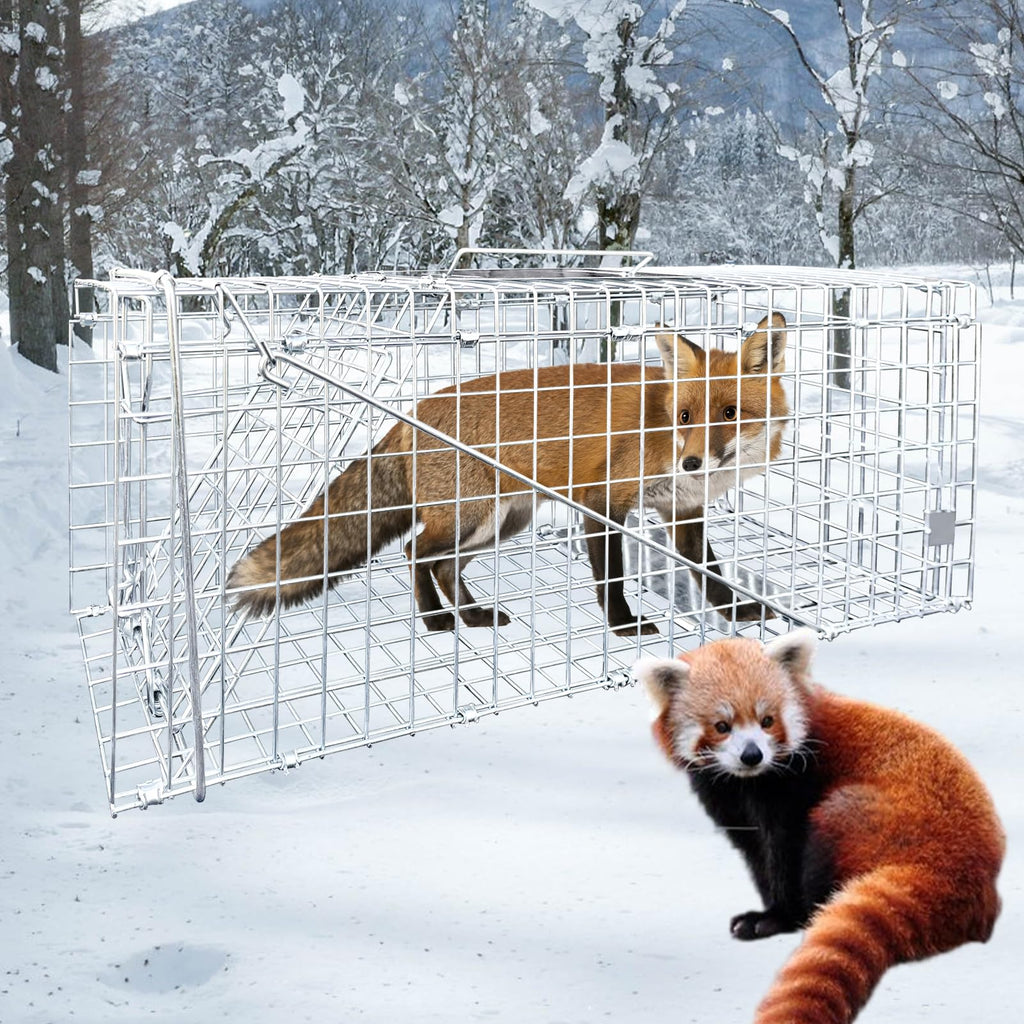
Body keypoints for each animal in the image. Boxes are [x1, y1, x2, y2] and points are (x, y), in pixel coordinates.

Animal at [227, 314, 789, 633]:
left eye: (731, 413)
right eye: (685, 417)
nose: (692, 461)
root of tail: (413, 411)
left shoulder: (683, 511)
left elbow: (711, 575)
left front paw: (738, 614)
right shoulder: (600, 502)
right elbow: (611, 578)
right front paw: (623, 626)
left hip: (501, 523)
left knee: (443, 565)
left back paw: (472, 616)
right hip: (471, 517)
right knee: (414, 552)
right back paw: (435, 621)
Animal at [634, 631, 1004, 1024]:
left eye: (767, 720)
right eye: (722, 726)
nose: (752, 755)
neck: (749, 782)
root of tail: (966, 875)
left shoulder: (793, 790)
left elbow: (785, 852)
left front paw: (775, 918)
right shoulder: (731, 803)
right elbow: (757, 854)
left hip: (865, 818)